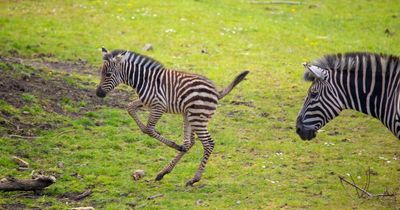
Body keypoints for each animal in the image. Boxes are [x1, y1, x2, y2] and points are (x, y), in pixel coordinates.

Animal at [95, 47, 248, 185]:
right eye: (101, 73)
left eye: (108, 74)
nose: (98, 94)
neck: (144, 81)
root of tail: (216, 92)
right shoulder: (146, 102)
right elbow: (130, 108)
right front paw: (172, 143)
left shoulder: (159, 106)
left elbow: (149, 129)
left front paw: (171, 143)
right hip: (189, 116)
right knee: (189, 143)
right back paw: (164, 171)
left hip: (197, 118)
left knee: (208, 143)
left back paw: (194, 179)